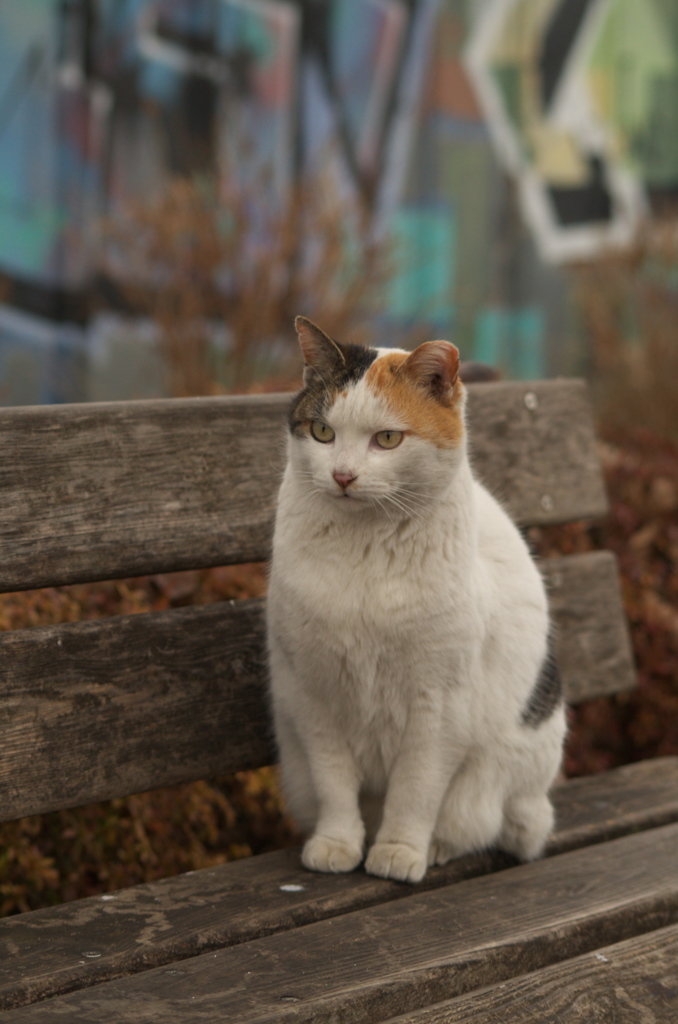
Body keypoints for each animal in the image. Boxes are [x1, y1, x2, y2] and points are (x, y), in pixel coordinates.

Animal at [266, 315, 569, 884]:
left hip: (502, 777)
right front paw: (337, 843)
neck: (363, 550)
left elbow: (415, 788)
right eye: (323, 432)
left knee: (480, 822)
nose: (342, 476)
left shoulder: (439, 703)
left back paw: (438, 847)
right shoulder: (314, 691)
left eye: (387, 438)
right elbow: (334, 781)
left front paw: (400, 851)